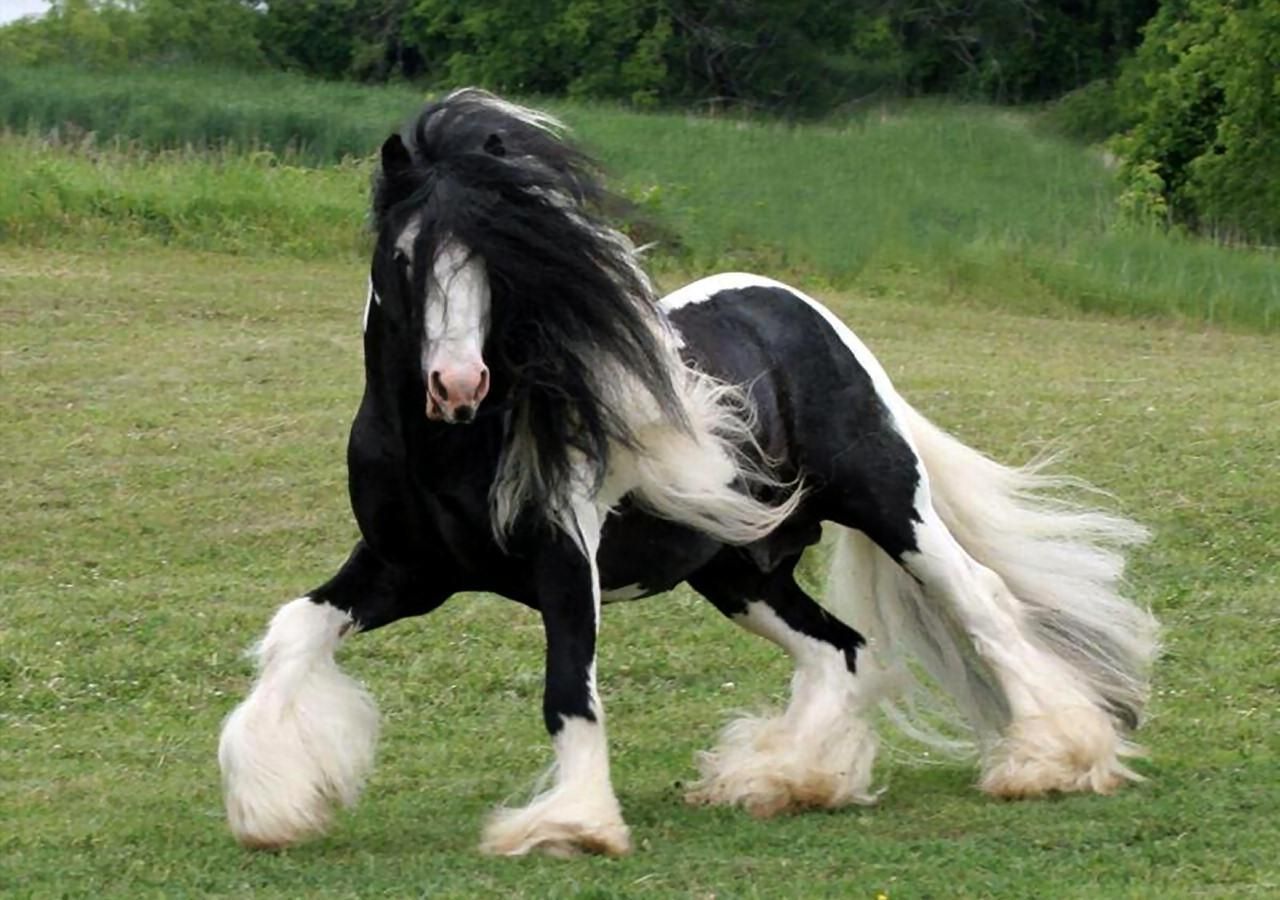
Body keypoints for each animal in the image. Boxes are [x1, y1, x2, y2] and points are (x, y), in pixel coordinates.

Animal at [217, 89, 1159, 858]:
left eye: (501, 261)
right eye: (407, 258)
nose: (456, 385)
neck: (445, 450)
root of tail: (803, 313)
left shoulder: (563, 564)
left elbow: (569, 690)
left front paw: (573, 827)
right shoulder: (405, 569)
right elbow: (294, 630)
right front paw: (273, 805)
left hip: (890, 505)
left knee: (983, 605)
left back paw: (1052, 759)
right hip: (738, 570)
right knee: (841, 650)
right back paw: (785, 779)